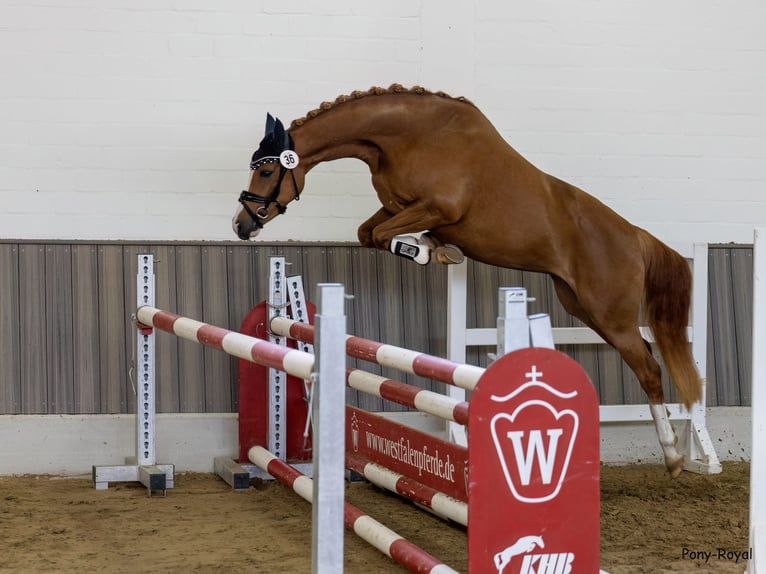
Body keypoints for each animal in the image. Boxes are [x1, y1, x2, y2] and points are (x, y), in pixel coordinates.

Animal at [232, 82, 704, 476]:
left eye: (268, 172)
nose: (242, 224)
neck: (404, 137)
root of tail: (636, 236)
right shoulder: (398, 206)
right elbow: (369, 233)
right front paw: (436, 248)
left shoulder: (438, 207)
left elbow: (384, 235)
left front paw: (428, 250)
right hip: (582, 306)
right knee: (646, 355)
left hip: (609, 314)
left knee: (648, 368)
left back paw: (674, 456)